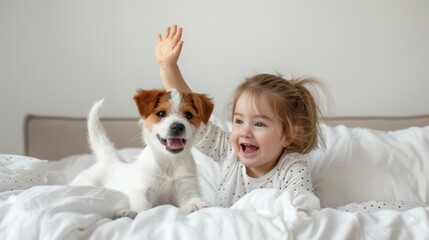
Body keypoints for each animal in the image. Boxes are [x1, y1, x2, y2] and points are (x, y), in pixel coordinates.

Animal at [72, 88, 217, 219]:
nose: (177, 126)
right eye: (161, 113)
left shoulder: (187, 187)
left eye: (188, 115)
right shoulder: (142, 189)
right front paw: (133, 212)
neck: (168, 162)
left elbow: (192, 199)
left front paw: (198, 204)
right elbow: (142, 205)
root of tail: (110, 160)